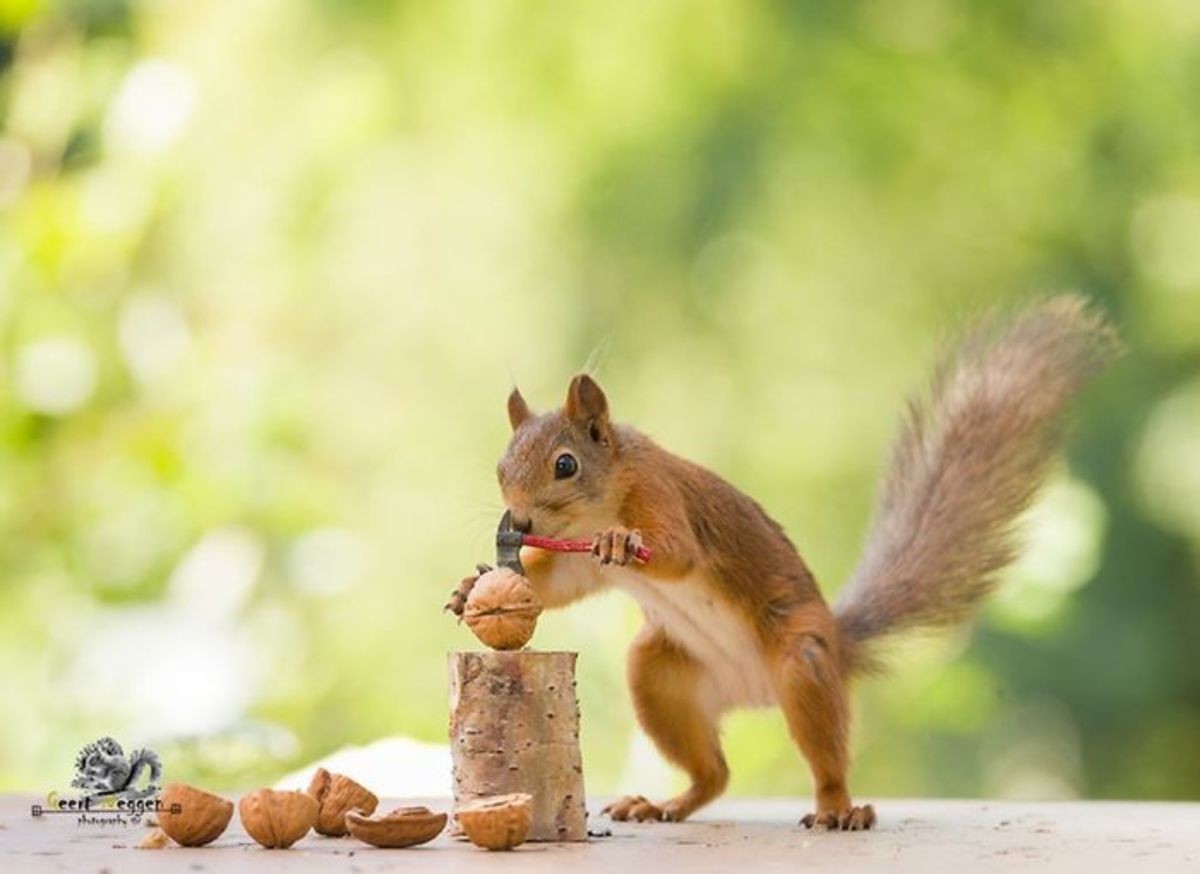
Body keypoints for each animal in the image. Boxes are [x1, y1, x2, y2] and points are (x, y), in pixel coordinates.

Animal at [446, 294, 1118, 825]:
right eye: (501, 466)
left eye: (565, 464)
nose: (521, 524)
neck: (597, 507)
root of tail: (757, 692)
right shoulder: (574, 563)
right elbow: (554, 583)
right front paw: (470, 587)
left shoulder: (663, 498)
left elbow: (675, 553)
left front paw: (620, 542)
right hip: (659, 675)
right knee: (714, 773)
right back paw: (663, 804)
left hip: (804, 660)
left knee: (822, 755)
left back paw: (838, 808)